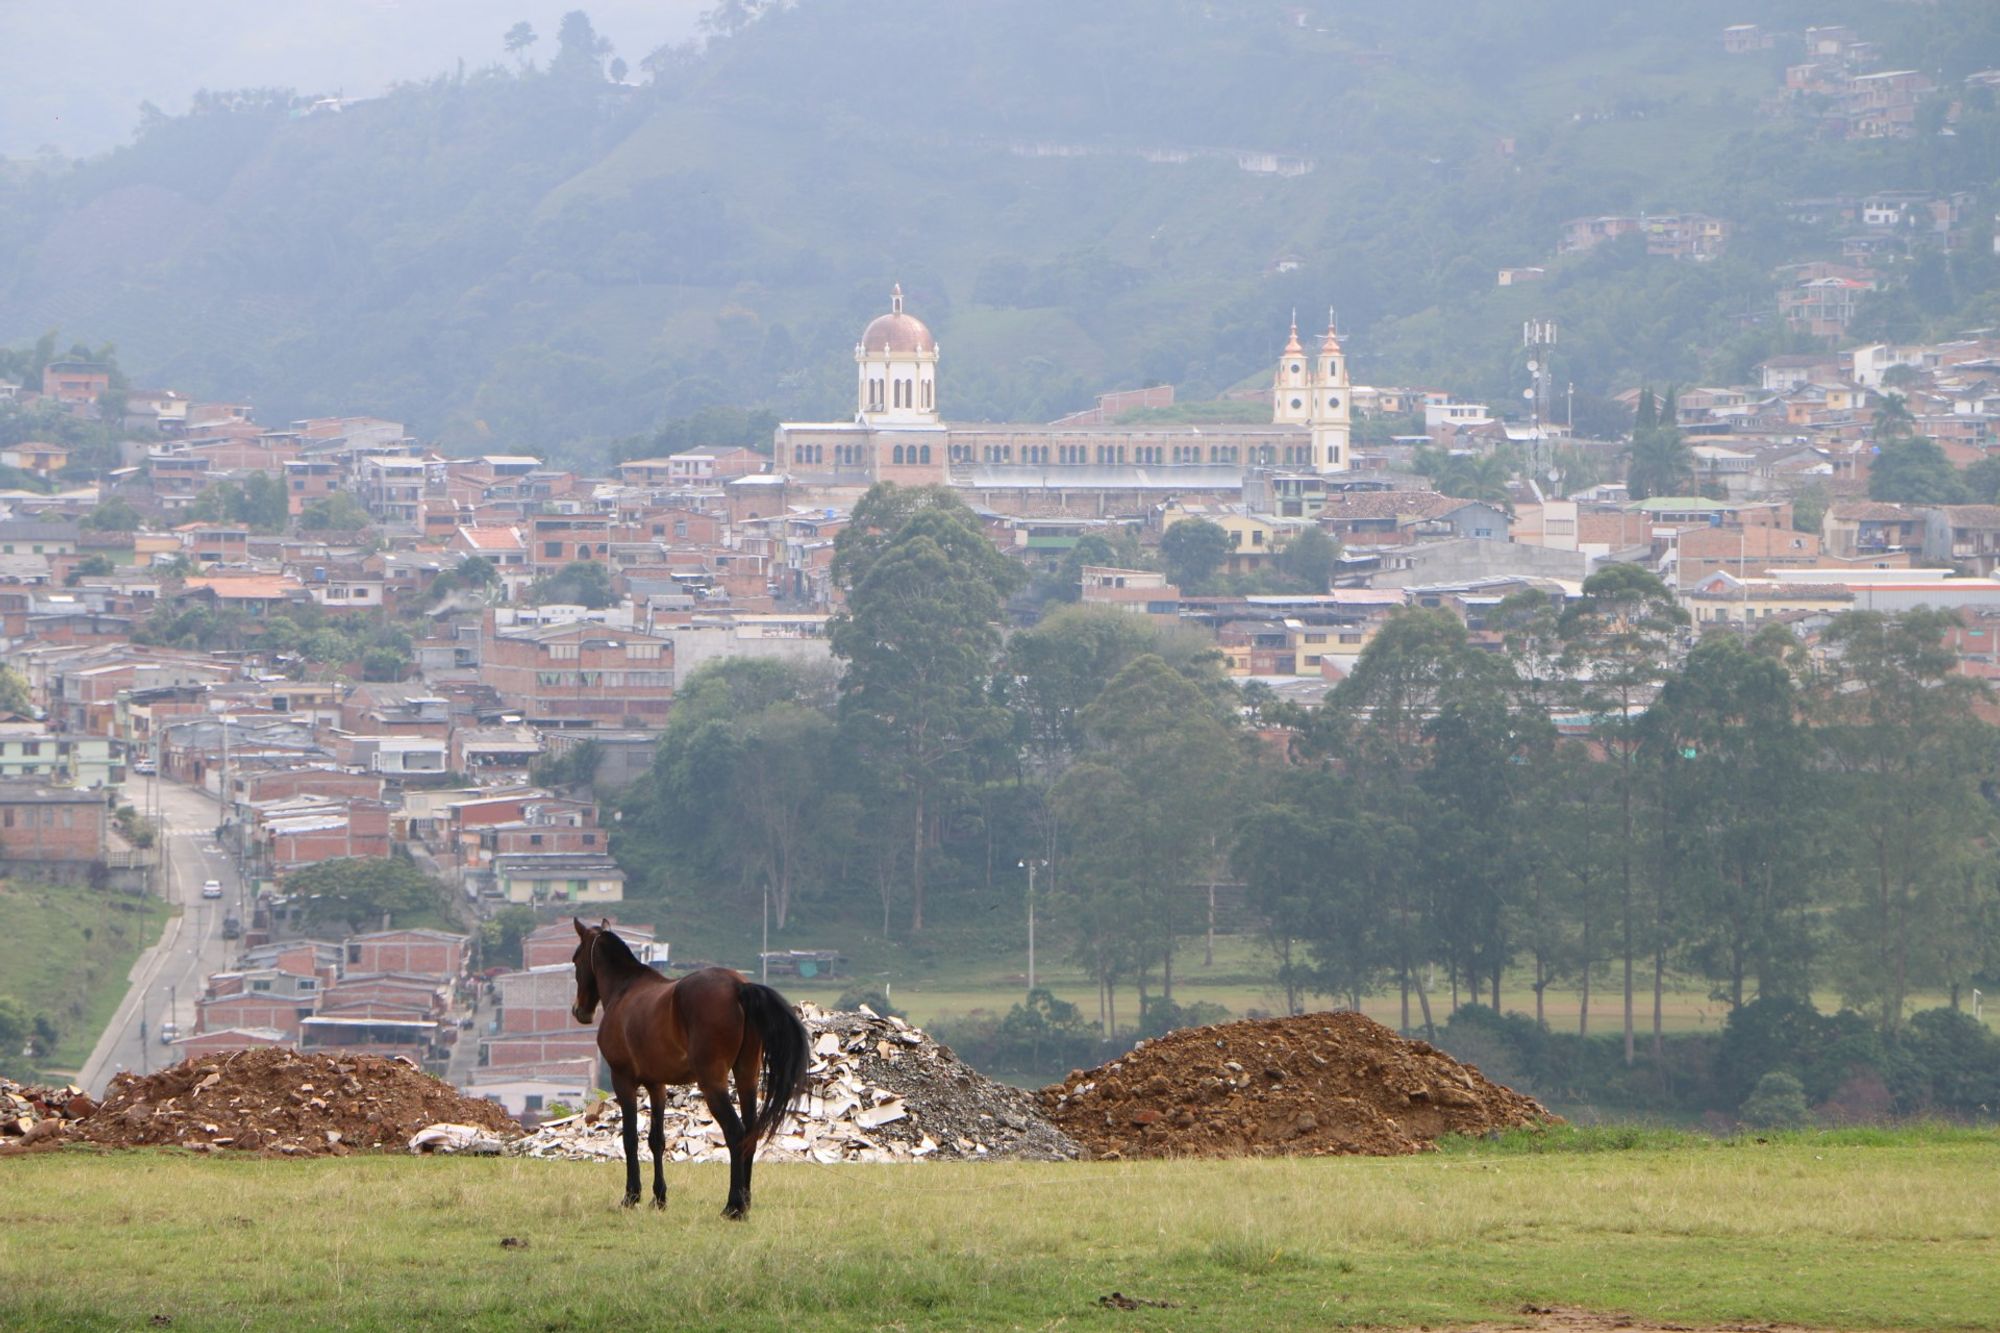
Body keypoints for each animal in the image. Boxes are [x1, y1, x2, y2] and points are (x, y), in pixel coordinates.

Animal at [568, 912, 808, 1216]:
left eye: (576, 959)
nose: (579, 1011)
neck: (626, 990)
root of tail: (739, 987)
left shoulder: (623, 1080)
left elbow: (630, 1138)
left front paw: (631, 1196)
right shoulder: (657, 1085)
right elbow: (656, 1140)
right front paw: (659, 1198)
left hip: (712, 1083)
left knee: (735, 1132)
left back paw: (733, 1206)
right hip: (747, 1078)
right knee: (750, 1134)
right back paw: (745, 1200)